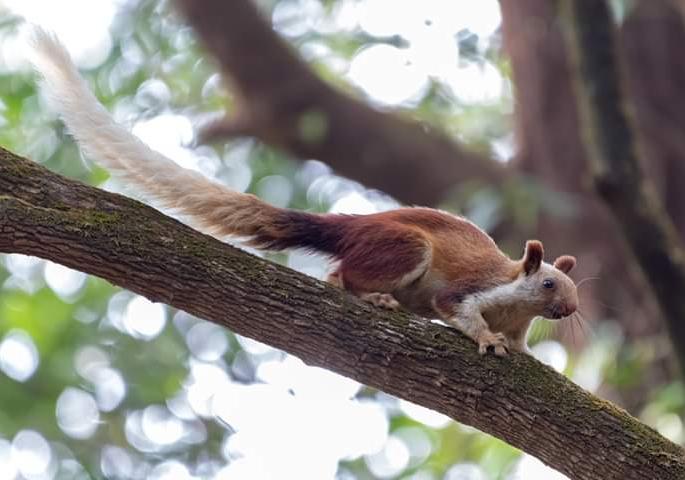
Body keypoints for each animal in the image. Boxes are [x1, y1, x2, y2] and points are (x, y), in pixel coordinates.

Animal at [28, 28, 578, 356]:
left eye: (574, 289)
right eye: (550, 284)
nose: (571, 311)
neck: (515, 304)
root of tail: (356, 227)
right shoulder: (471, 289)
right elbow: (456, 307)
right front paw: (487, 339)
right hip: (402, 247)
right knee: (341, 274)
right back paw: (370, 295)